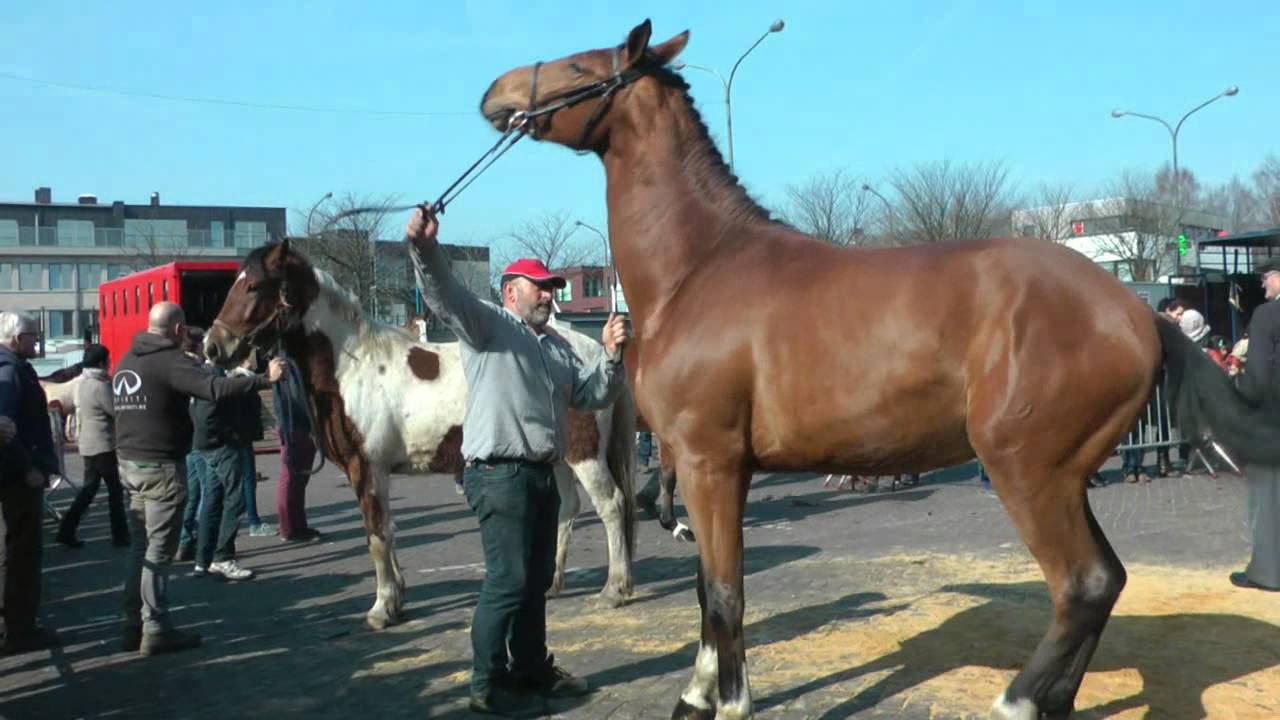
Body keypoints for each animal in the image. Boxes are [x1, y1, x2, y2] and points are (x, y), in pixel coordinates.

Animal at [202, 241, 639, 629]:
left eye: (253, 286)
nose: (212, 346)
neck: (353, 364)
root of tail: (593, 354)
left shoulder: (367, 469)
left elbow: (377, 535)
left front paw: (382, 609)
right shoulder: (375, 473)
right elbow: (387, 533)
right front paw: (397, 599)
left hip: (585, 456)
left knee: (611, 506)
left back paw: (614, 590)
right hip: (560, 458)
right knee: (568, 509)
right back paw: (552, 584)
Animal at [478, 20, 1280, 719]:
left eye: (579, 66)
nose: (494, 92)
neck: (700, 265)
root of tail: (1138, 314)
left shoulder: (710, 463)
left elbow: (727, 594)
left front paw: (728, 703)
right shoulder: (713, 470)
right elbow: (708, 590)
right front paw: (696, 696)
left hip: (1027, 469)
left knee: (1081, 584)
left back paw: (1017, 700)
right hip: (1064, 475)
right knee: (1107, 581)